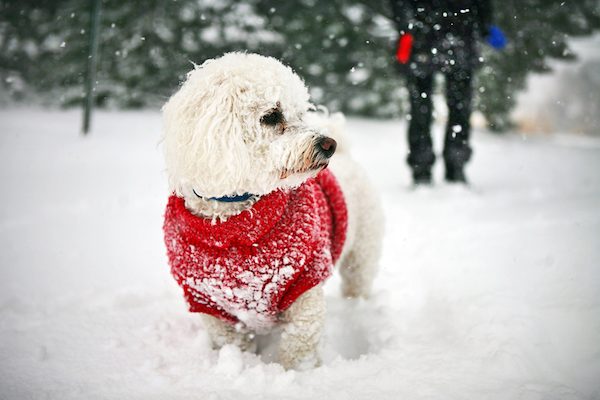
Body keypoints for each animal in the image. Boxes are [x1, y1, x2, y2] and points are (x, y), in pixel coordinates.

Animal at [162, 52, 382, 368]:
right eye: (272, 116)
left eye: (301, 113)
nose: (329, 144)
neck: (233, 222)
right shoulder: (207, 302)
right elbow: (232, 343)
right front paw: (240, 363)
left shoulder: (305, 284)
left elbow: (298, 345)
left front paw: (295, 373)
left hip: (361, 252)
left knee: (358, 281)